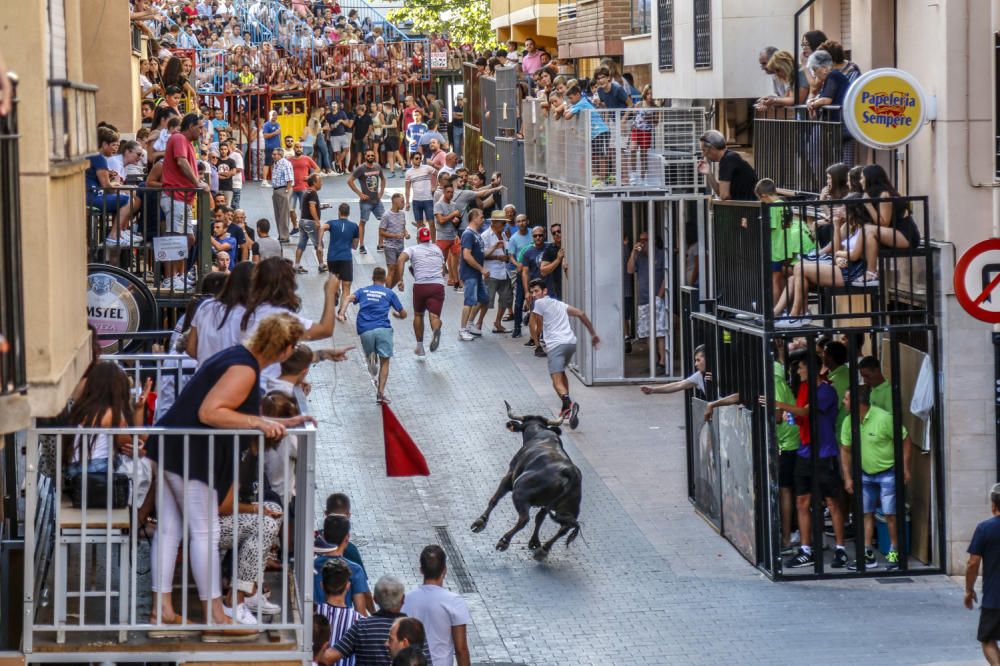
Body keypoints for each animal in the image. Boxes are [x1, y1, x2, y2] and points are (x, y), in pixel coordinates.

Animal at [470, 402, 584, 556]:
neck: (540, 434)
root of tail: (568, 472)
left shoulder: (509, 476)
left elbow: (495, 498)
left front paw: (480, 521)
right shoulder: (545, 505)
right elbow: (540, 518)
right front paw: (535, 542)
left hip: (520, 492)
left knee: (524, 519)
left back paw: (504, 540)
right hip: (567, 508)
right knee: (564, 527)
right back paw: (543, 548)